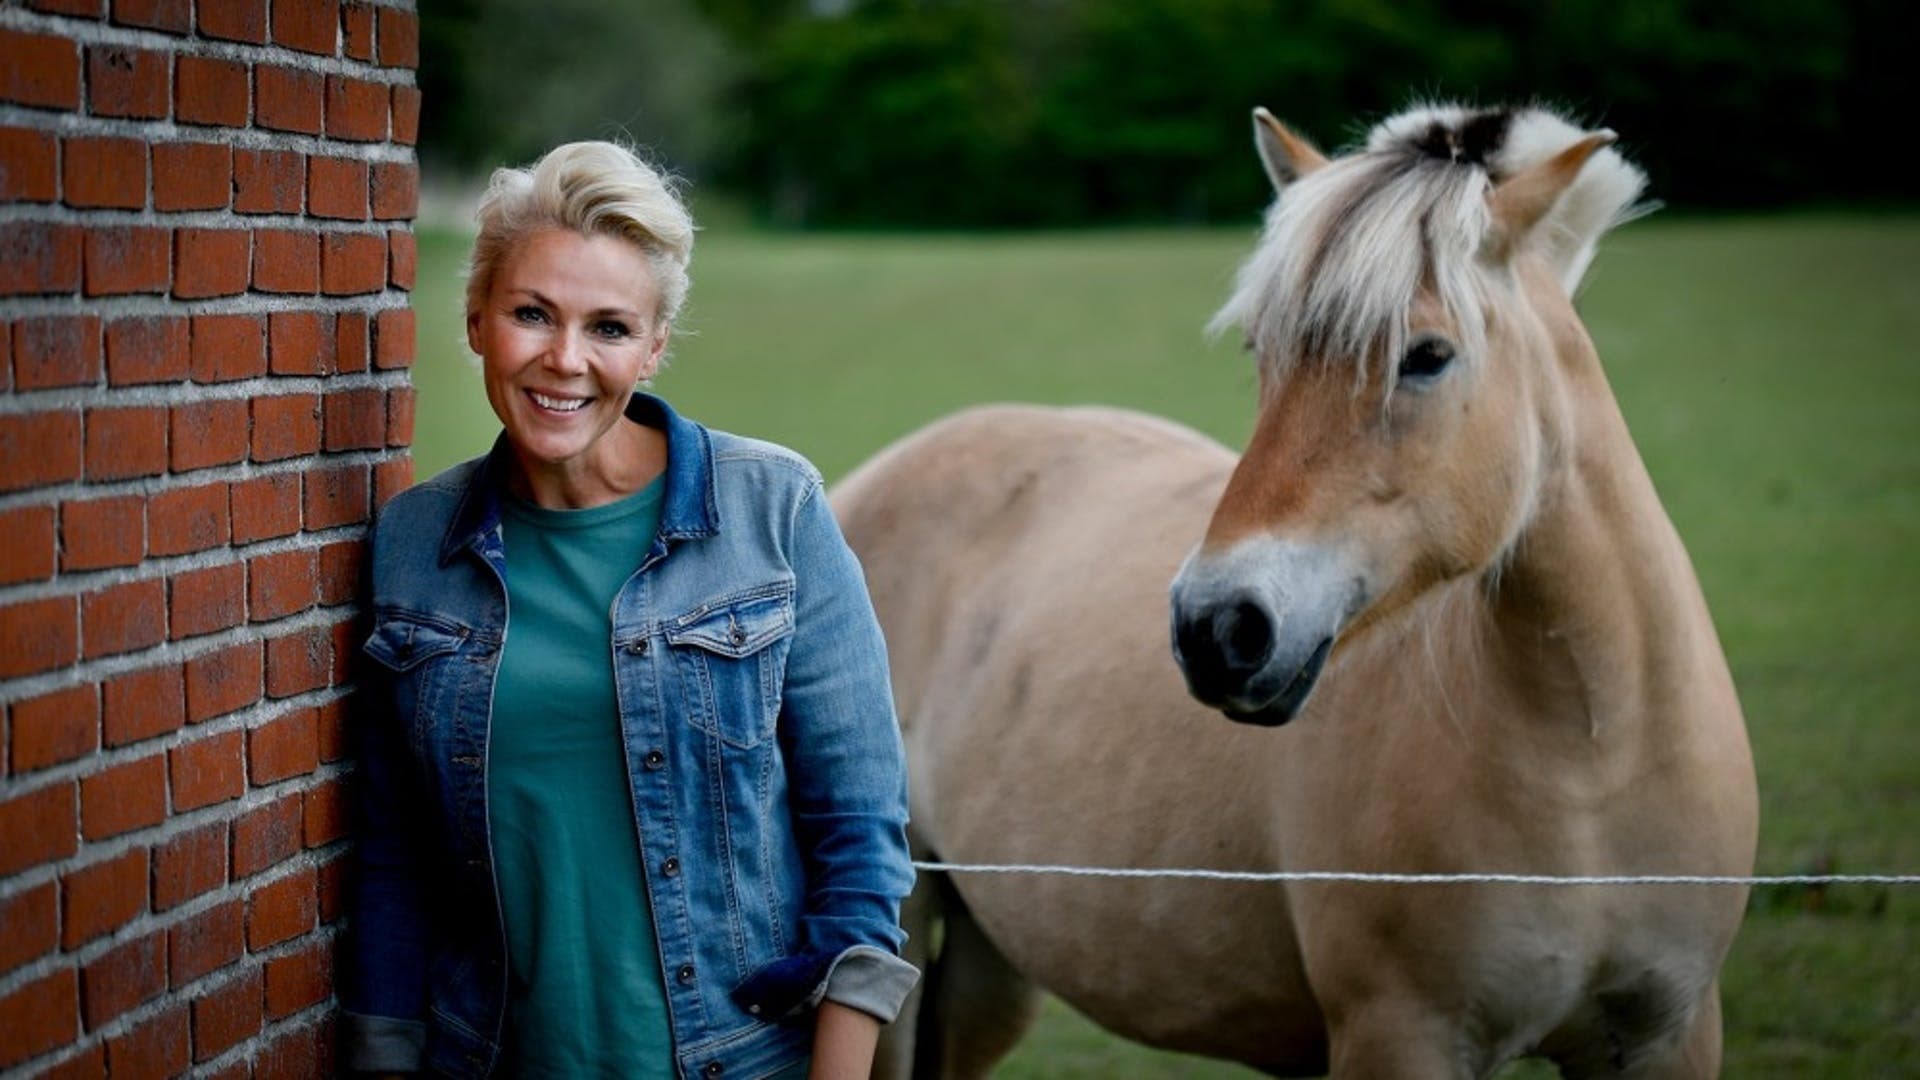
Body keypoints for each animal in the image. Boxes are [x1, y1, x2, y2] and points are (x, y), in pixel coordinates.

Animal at [833, 102, 1758, 1076]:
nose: (1214, 627)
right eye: (1262, 350)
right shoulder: (1400, 1034)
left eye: (1428, 356)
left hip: (990, 974)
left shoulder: (1669, 1033)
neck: (1593, 761)